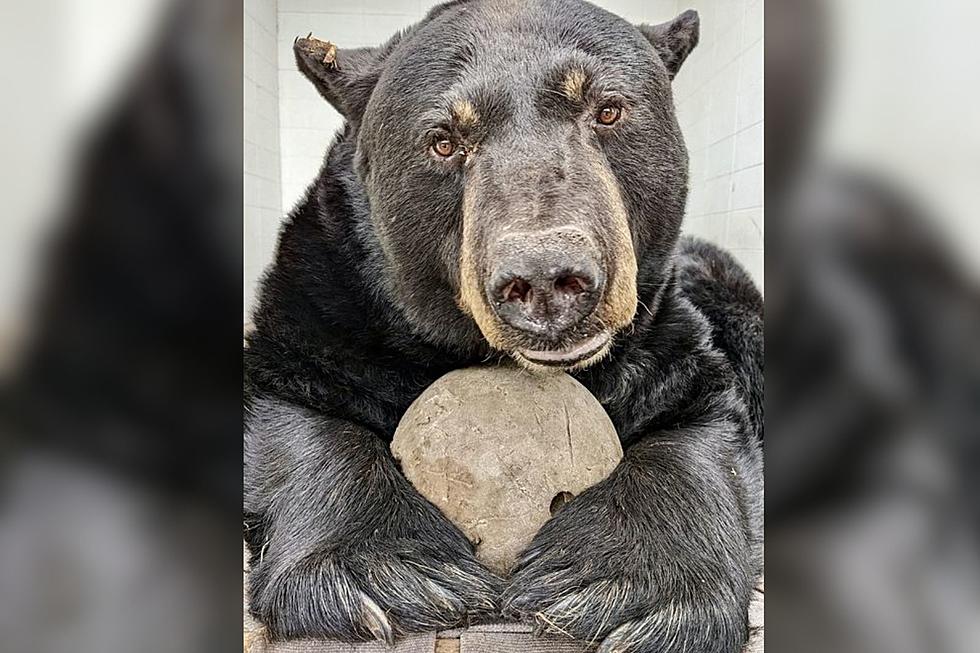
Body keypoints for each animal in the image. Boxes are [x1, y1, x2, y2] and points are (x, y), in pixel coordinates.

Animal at [245, 2, 764, 648]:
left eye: (608, 109)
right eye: (443, 141)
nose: (545, 278)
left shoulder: (664, 330)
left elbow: (700, 423)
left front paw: (621, 582)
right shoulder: (325, 300)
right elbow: (296, 406)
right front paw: (393, 567)